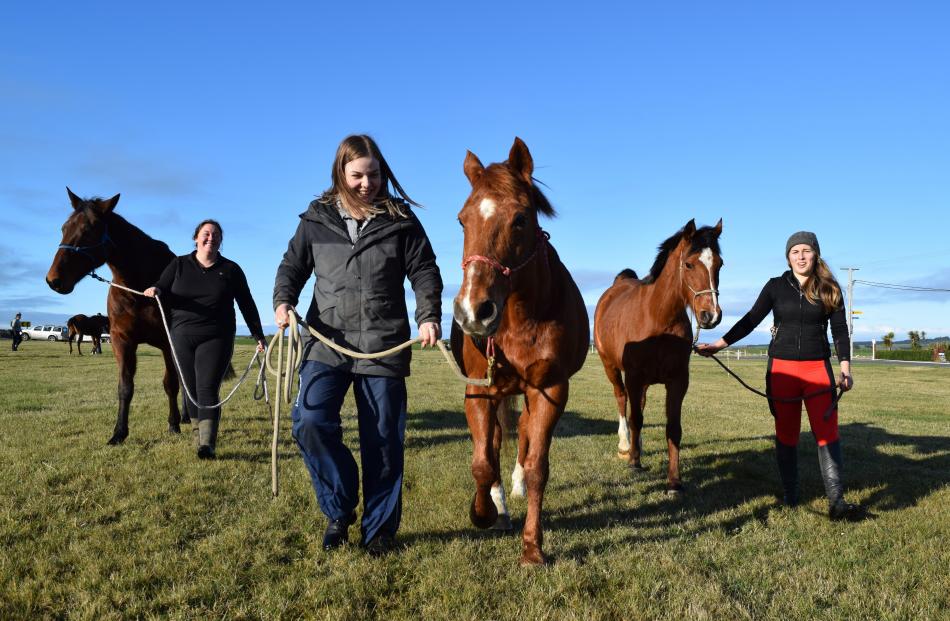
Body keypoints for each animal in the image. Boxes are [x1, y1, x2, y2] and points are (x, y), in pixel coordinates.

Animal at [46, 188, 187, 440]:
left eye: (90, 229)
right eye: (64, 227)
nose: (54, 280)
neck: (139, 289)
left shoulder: (166, 342)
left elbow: (171, 383)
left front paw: (173, 424)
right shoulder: (121, 340)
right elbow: (125, 387)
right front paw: (119, 432)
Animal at [452, 138, 592, 564]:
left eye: (520, 219)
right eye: (462, 220)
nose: (474, 311)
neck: (517, 321)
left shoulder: (549, 390)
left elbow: (537, 467)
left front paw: (533, 546)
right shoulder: (478, 390)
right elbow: (482, 462)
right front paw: (483, 513)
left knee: (525, 435)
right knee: (496, 442)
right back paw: (498, 504)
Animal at [600, 220, 724, 492]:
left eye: (719, 264)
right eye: (689, 264)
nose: (711, 315)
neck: (657, 318)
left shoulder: (678, 381)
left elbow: (673, 428)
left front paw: (674, 481)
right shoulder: (633, 377)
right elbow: (635, 418)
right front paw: (634, 462)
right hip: (611, 367)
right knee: (622, 400)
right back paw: (626, 446)